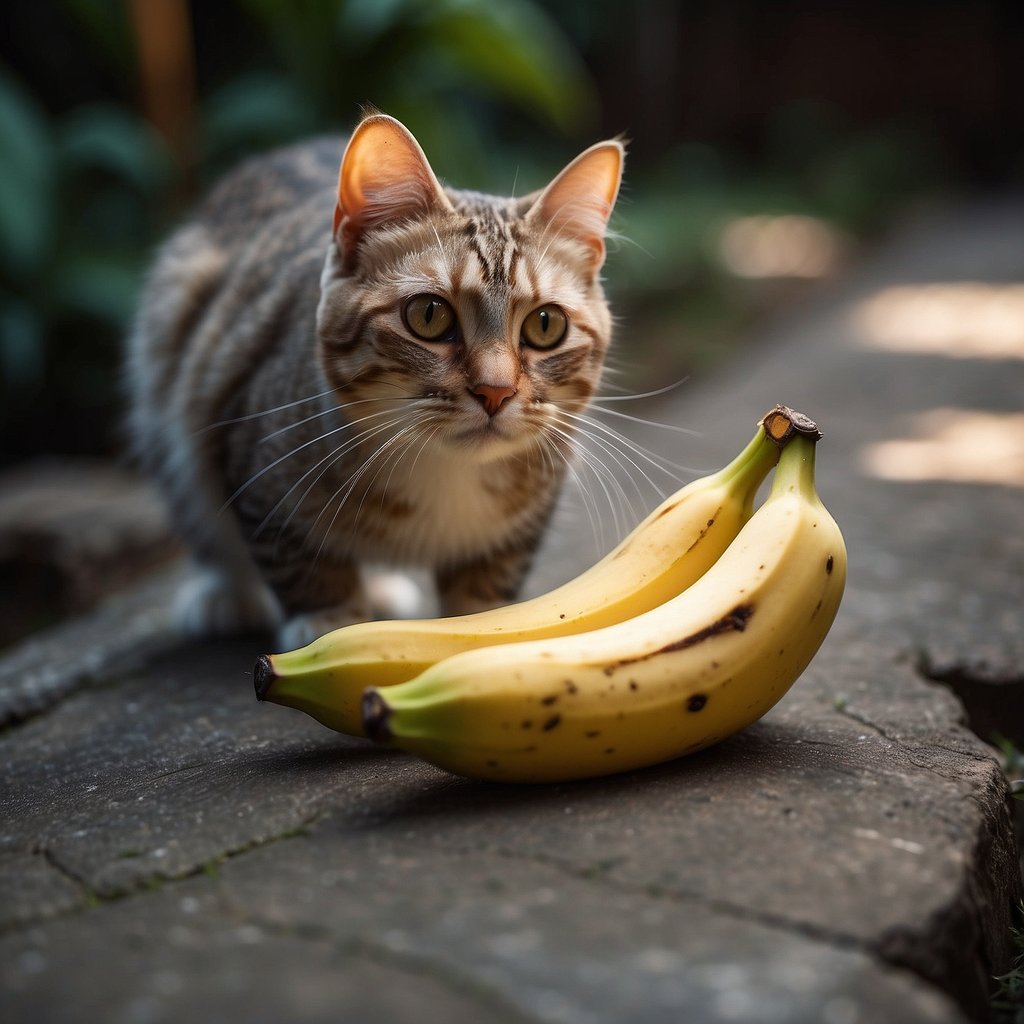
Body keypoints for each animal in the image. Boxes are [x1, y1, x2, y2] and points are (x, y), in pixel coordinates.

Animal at [128, 112, 622, 647]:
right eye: (428, 315)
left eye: (545, 325)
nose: (495, 391)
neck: (447, 472)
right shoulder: (251, 451)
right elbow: (294, 552)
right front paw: (328, 620)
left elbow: (492, 574)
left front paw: (485, 621)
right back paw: (225, 595)